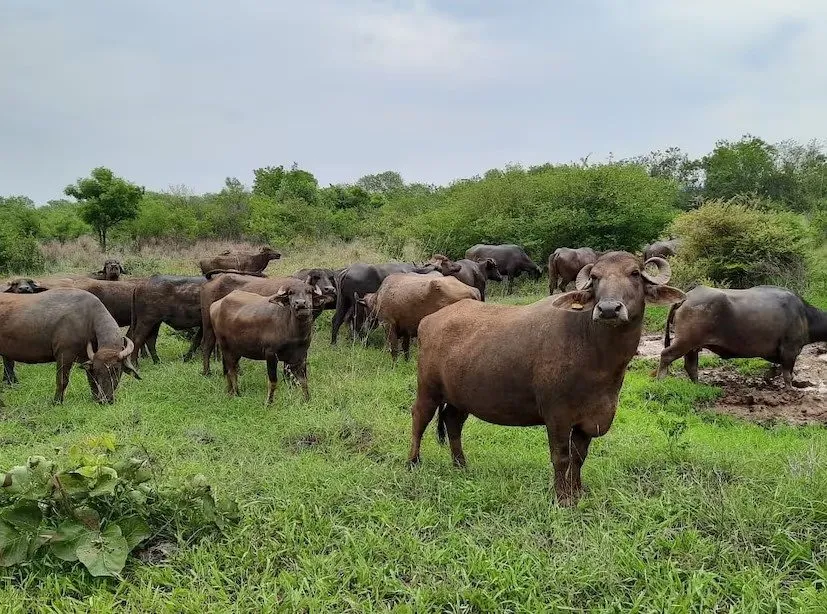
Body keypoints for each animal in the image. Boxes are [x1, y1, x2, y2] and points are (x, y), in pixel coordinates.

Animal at [0, 288, 141, 404]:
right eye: (98, 370)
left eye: (116, 369)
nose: (105, 400)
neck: (87, 319)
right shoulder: (64, 355)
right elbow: (62, 380)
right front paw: (57, 401)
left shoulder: (86, 358)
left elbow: (92, 381)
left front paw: (95, 398)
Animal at [408, 253, 684, 505]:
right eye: (595, 277)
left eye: (635, 274)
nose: (608, 309)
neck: (596, 354)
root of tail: (430, 320)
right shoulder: (557, 416)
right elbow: (561, 457)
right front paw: (562, 498)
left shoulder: (588, 419)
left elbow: (579, 456)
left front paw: (577, 492)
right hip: (428, 388)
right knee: (420, 418)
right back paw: (413, 462)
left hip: (460, 397)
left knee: (452, 422)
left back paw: (461, 465)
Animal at [657, 285, 827, 386]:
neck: (805, 316)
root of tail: (686, 298)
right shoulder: (790, 350)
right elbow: (787, 375)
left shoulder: (781, 354)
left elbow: (778, 370)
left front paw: (768, 376)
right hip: (685, 341)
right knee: (666, 355)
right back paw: (660, 380)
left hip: (693, 345)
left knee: (691, 365)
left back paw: (698, 385)